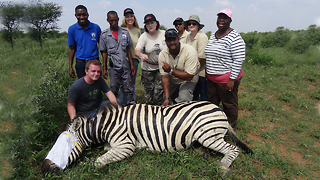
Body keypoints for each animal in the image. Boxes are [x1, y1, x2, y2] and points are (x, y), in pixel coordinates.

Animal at [42, 101, 252, 176]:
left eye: (65, 146)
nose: (43, 168)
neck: (108, 125)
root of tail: (219, 109)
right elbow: (106, 149)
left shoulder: (126, 146)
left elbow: (98, 161)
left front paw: (90, 165)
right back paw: (200, 151)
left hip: (209, 135)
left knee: (232, 150)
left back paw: (223, 167)